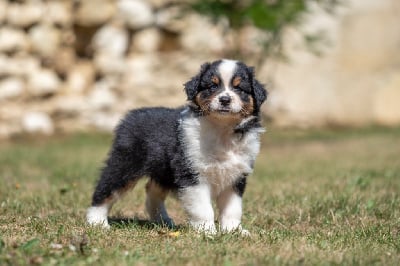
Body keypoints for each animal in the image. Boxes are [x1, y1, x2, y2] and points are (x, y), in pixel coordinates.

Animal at [88, 59, 268, 234]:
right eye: (212, 86)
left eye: (239, 88)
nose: (225, 99)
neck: (222, 129)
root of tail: (131, 115)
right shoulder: (192, 173)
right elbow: (203, 208)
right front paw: (207, 231)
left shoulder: (236, 176)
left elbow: (233, 209)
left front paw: (233, 231)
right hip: (125, 164)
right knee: (105, 189)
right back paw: (97, 222)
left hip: (162, 171)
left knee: (152, 192)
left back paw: (162, 221)